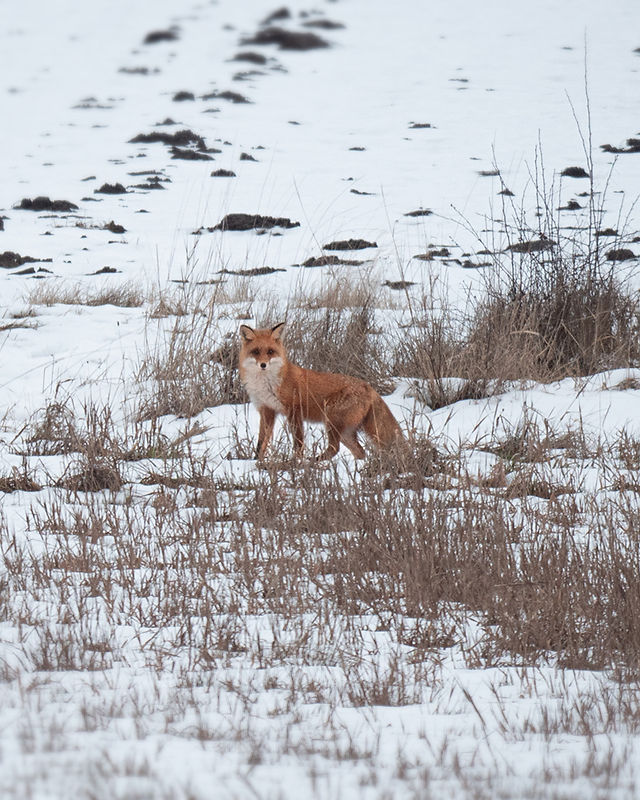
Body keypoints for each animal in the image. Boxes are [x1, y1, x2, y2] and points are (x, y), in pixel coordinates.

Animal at [238, 322, 403, 460]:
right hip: (345, 432)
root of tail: (369, 387)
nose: (263, 365)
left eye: (270, 351)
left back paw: (314, 461)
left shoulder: (294, 411)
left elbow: (298, 442)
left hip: (332, 421)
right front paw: (256, 461)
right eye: (256, 351)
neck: (267, 384)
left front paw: (296, 461)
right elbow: (261, 442)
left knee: (335, 448)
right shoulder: (267, 410)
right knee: (360, 452)